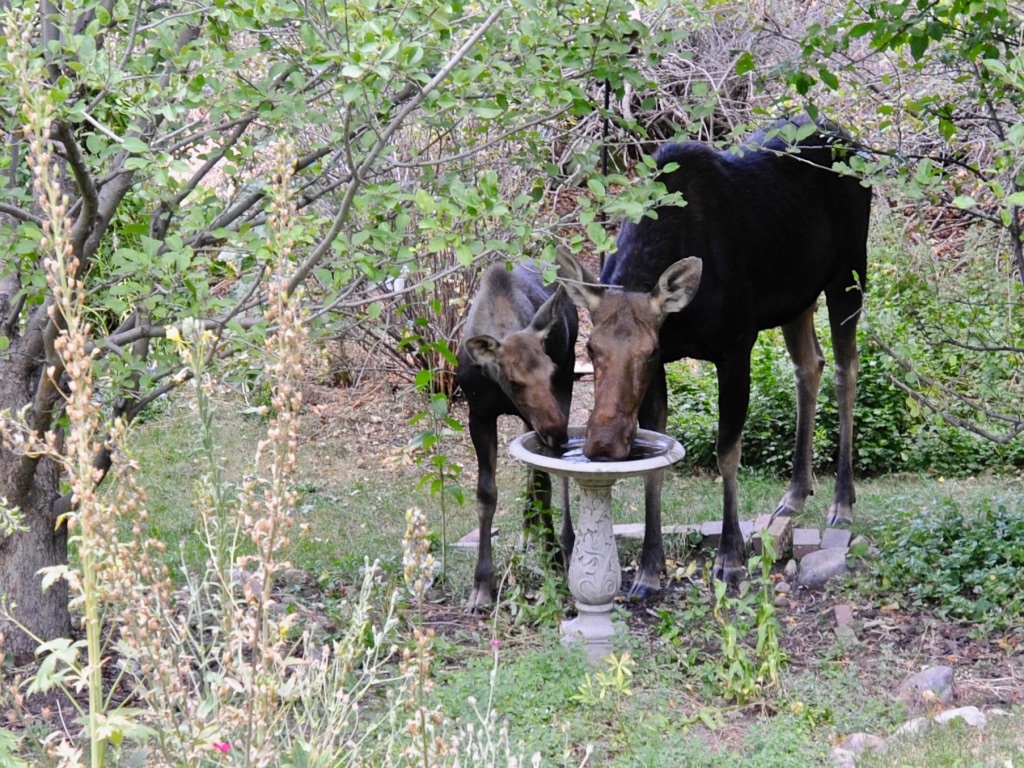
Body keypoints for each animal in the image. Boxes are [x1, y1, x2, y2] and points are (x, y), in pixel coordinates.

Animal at [460, 262, 581, 610]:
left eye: (549, 371)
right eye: (514, 381)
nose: (558, 432)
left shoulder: (539, 410)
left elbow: (543, 486)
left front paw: (554, 562)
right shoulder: (479, 415)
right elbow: (486, 494)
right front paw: (481, 586)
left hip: (566, 386)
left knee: (553, 478)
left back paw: (562, 541)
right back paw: (528, 535)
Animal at [561, 115, 872, 593]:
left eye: (648, 350)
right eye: (591, 349)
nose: (603, 443)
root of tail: (851, 140)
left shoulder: (735, 347)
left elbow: (728, 451)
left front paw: (731, 558)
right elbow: (659, 453)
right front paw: (649, 569)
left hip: (849, 273)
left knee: (846, 369)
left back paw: (843, 500)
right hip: (797, 296)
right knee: (809, 365)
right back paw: (796, 492)